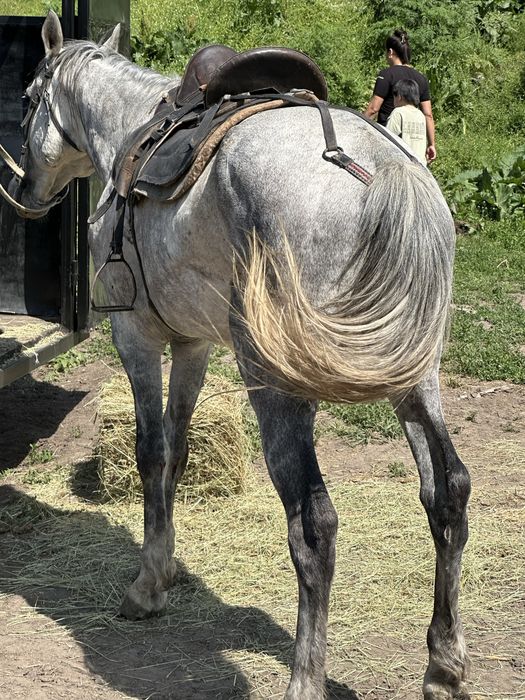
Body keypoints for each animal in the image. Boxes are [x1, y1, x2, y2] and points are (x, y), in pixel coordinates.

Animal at [4, 11, 472, 699]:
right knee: (447, 494)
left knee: (315, 526)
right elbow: (177, 451)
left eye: (31, 98)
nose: (26, 189)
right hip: (415, 376)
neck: (129, 134)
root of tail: (385, 171)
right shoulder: (193, 344)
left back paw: (305, 678)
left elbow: (150, 452)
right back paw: (443, 663)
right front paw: (166, 566)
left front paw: (147, 586)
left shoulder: (135, 337)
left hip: (277, 383)